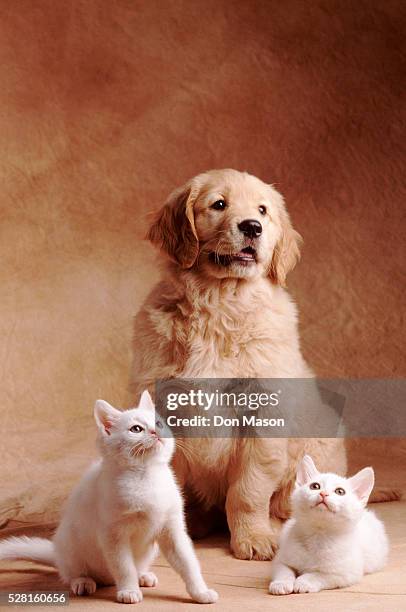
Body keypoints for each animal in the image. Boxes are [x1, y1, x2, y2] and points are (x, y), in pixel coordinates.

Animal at [0, 390, 219, 604]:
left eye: (158, 423)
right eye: (136, 429)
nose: (155, 432)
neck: (146, 476)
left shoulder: (172, 529)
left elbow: (188, 563)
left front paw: (200, 592)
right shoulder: (113, 534)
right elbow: (124, 567)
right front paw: (129, 591)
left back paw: (143, 575)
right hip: (69, 542)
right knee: (71, 573)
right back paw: (83, 581)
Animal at [132, 169, 348, 560]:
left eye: (262, 211)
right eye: (219, 204)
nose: (252, 227)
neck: (219, 304)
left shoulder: (262, 415)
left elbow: (249, 490)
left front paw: (253, 538)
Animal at [268, 454, 388, 592]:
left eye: (340, 491)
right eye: (315, 486)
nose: (323, 493)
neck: (318, 535)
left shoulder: (346, 573)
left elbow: (319, 575)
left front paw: (304, 582)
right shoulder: (280, 559)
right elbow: (283, 570)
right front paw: (281, 583)